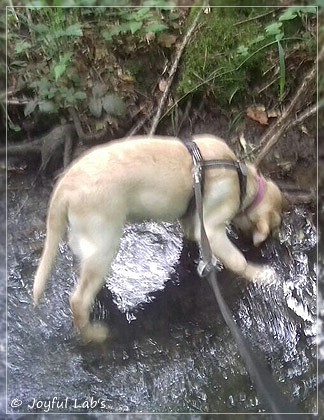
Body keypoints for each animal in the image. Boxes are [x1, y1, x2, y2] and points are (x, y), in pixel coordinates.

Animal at [33, 136, 284, 342]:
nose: (261, 246)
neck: (242, 181)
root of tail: (64, 188)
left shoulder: (193, 223)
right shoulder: (212, 230)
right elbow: (238, 261)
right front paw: (262, 275)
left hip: (87, 245)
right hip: (104, 243)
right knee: (78, 301)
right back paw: (95, 335)